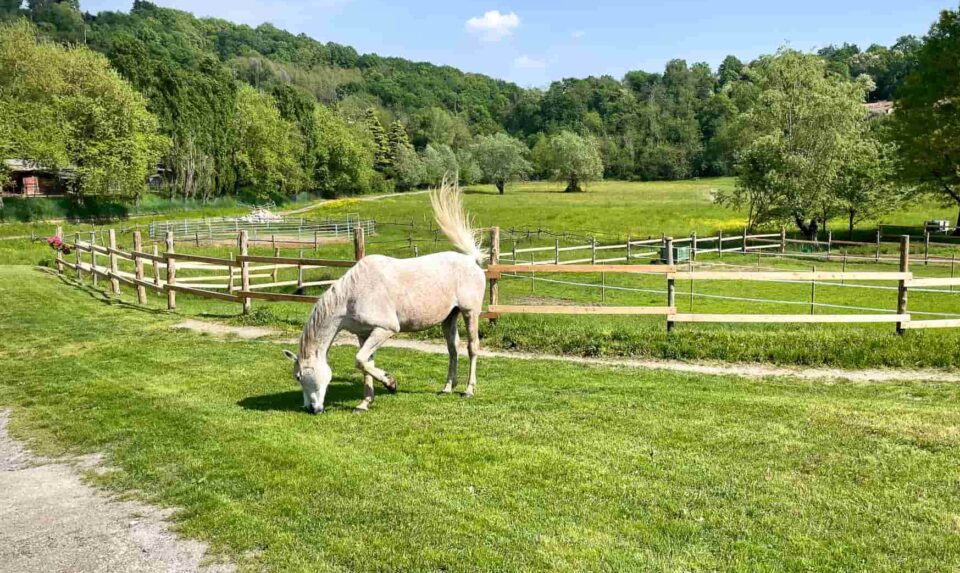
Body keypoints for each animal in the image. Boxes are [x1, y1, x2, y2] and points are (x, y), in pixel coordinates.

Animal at [282, 180, 487, 414]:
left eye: (299, 376)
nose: (311, 408)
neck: (352, 296)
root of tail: (471, 260)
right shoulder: (364, 334)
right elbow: (366, 364)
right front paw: (364, 403)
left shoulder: (386, 329)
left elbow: (360, 360)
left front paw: (390, 383)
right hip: (448, 318)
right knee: (453, 349)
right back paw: (447, 388)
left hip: (470, 313)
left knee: (472, 348)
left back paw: (468, 390)